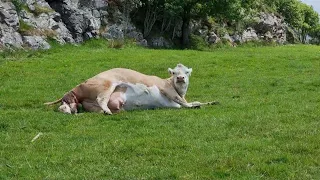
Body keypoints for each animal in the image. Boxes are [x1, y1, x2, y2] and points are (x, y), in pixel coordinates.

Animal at [45, 63, 216, 114]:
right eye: (174, 72)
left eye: (186, 72)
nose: (180, 78)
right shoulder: (168, 91)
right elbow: (186, 103)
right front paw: (197, 105)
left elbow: (193, 101)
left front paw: (211, 102)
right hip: (107, 85)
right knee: (101, 99)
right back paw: (107, 111)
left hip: (87, 104)